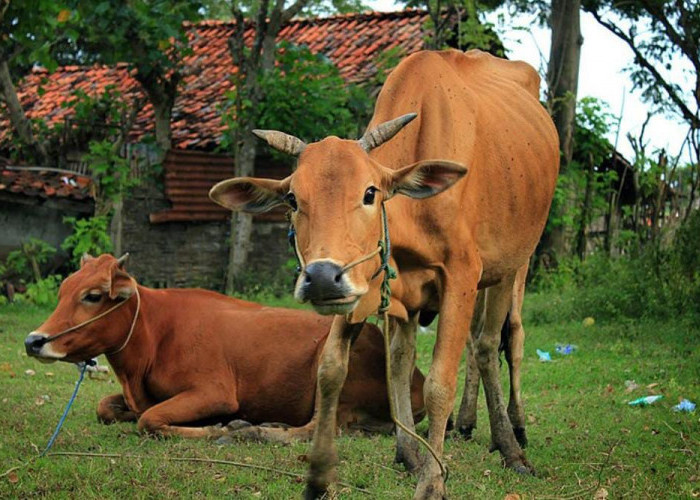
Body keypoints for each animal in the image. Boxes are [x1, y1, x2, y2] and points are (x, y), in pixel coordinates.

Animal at [24, 254, 424, 438]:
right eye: (62, 291)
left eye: (92, 296)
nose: (33, 341)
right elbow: (106, 408)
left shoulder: (215, 392)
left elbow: (150, 419)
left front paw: (216, 428)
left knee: (315, 428)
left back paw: (252, 430)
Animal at [209, 48, 556, 498]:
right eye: (292, 199)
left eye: (370, 192)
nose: (322, 277)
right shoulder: (363, 285)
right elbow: (333, 371)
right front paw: (320, 475)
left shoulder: (462, 275)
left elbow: (439, 383)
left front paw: (433, 482)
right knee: (411, 356)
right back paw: (430, 442)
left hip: (513, 266)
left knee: (496, 343)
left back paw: (512, 440)